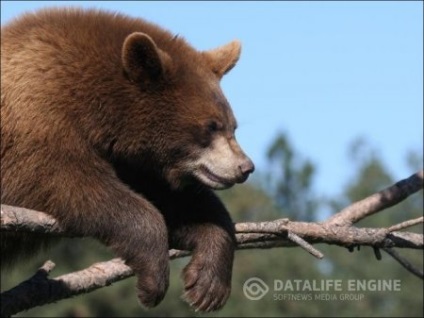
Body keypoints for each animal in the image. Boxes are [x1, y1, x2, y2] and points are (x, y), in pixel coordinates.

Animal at [0, 6, 255, 314]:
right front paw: (152, 281)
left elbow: (178, 202)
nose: (245, 167)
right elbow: (74, 184)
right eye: (211, 126)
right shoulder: (38, 120)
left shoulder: (134, 162)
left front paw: (207, 284)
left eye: (233, 126)